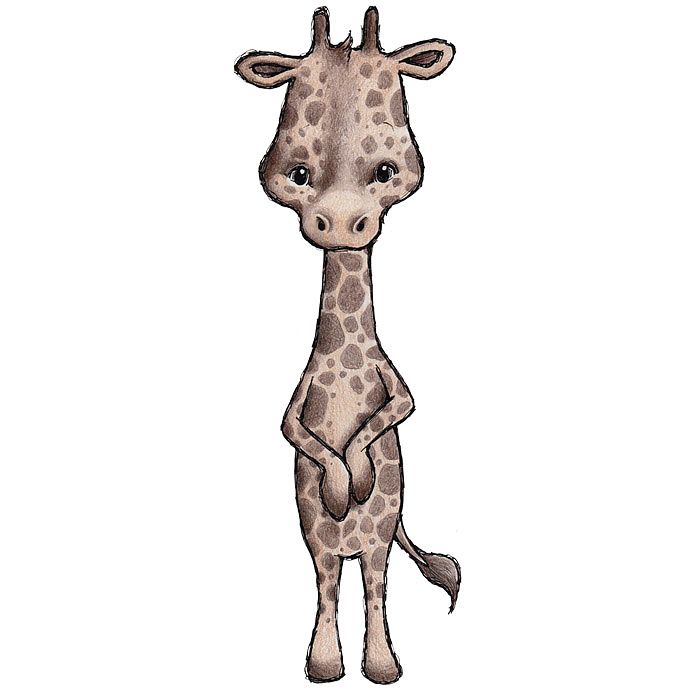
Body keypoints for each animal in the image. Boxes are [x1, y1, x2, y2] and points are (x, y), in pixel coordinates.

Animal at [235, 6, 459, 684]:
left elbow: (395, 409)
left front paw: (355, 470)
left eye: (387, 171)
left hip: (382, 527)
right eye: (296, 174)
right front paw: (340, 480)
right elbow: (295, 430)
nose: (338, 222)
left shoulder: (397, 390)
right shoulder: (297, 405)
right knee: (330, 579)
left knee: (376, 580)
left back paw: (382, 665)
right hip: (316, 531)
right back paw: (326, 664)